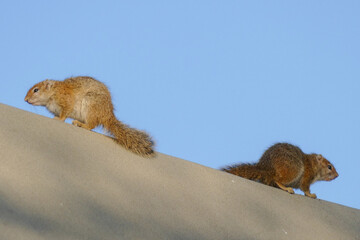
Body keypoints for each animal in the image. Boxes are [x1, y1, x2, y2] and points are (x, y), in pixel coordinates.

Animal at [25, 76, 155, 157]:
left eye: (36, 90)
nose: (25, 99)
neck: (53, 92)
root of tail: (107, 115)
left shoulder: (66, 100)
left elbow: (64, 113)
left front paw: (59, 119)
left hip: (90, 104)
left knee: (91, 125)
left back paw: (81, 124)